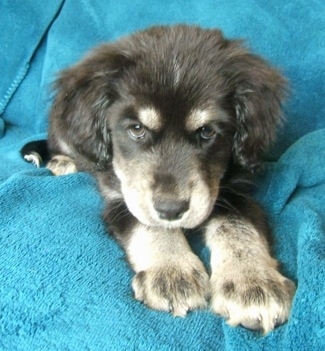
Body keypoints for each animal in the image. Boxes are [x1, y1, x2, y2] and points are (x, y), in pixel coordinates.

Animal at [21, 25, 294, 336]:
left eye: (207, 132)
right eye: (137, 129)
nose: (171, 209)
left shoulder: (236, 191)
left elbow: (240, 228)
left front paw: (253, 284)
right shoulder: (123, 196)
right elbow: (150, 225)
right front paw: (171, 272)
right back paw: (62, 162)